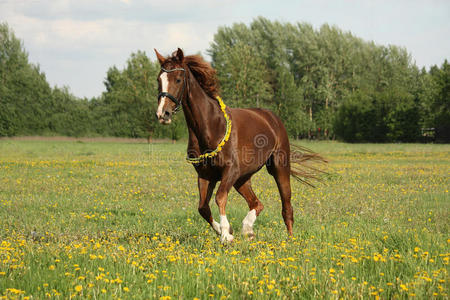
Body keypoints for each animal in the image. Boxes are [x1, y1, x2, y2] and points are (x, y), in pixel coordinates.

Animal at [155, 48, 324, 243]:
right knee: (257, 203)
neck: (212, 126)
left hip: (278, 168)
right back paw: (248, 229)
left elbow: (220, 197)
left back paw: (289, 239)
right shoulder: (205, 175)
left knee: (286, 206)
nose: (163, 114)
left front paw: (226, 235)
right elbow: (202, 208)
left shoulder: (230, 171)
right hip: (242, 179)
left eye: (178, 79)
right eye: (159, 79)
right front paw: (226, 232)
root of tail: (272, 118)